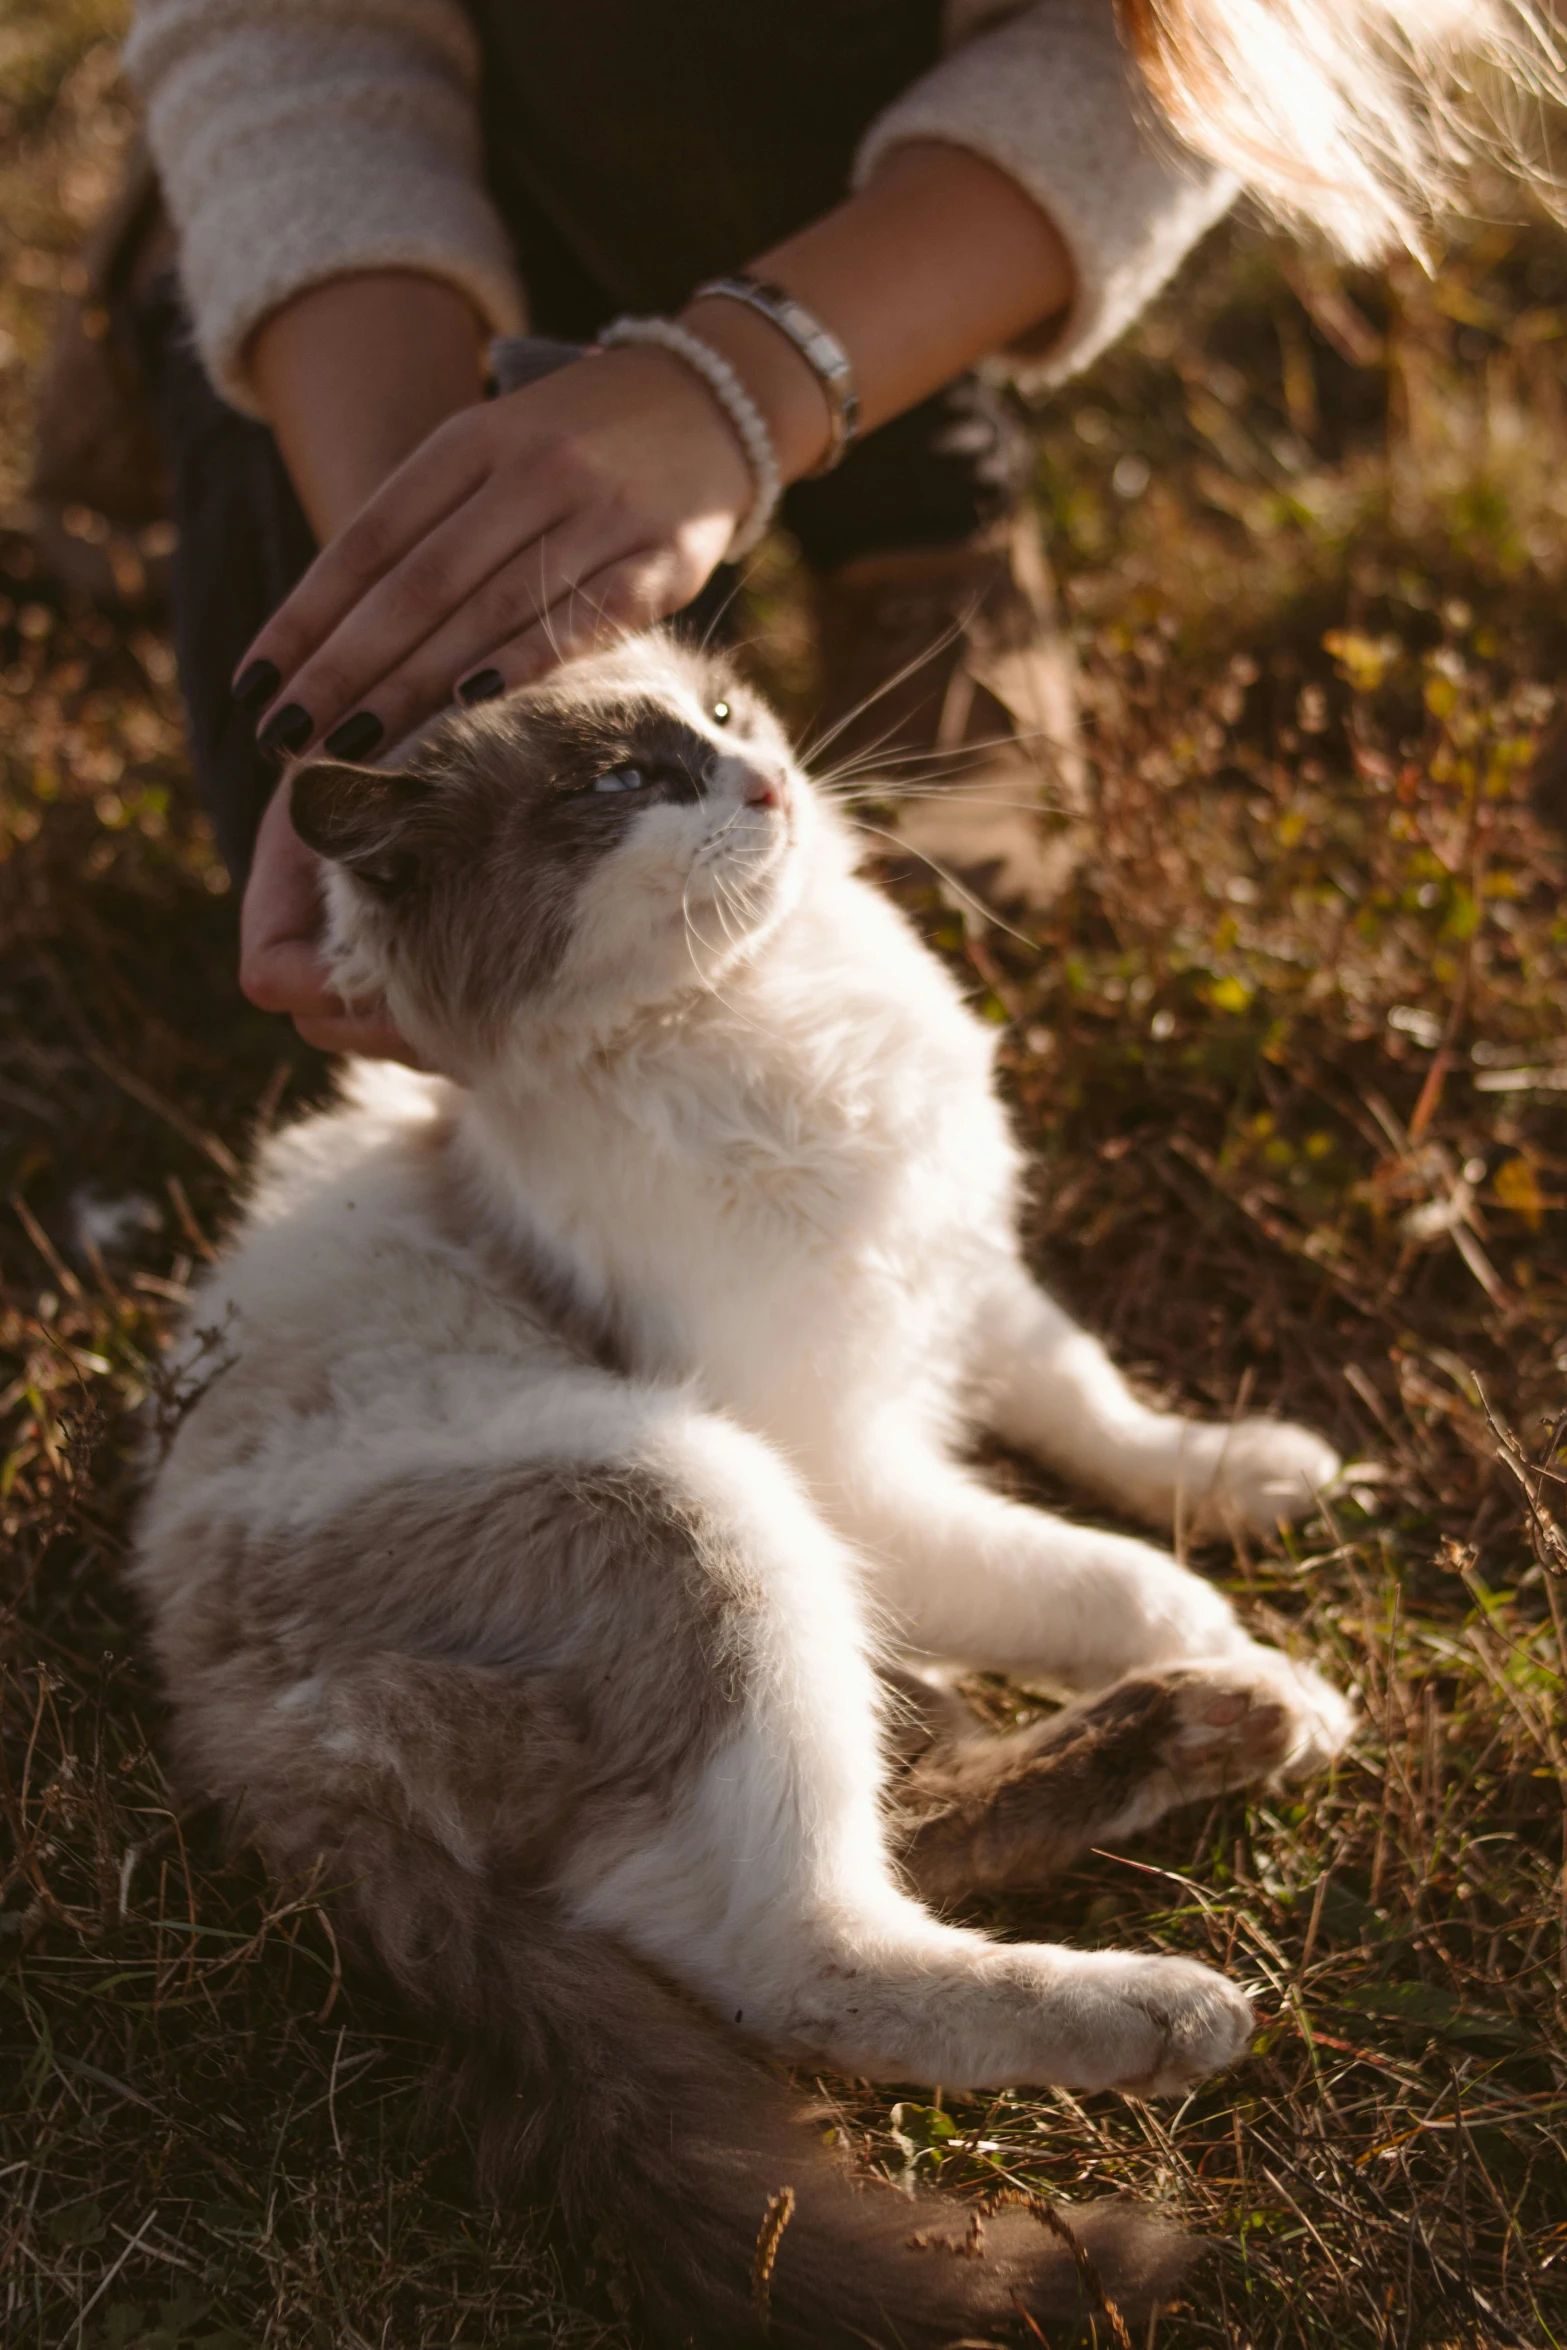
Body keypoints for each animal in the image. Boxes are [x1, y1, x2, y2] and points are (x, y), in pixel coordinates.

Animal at [140, 634, 1353, 2340]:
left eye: (717, 717)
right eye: (615, 784)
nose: (767, 782)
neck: (770, 1016)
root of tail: (226, 1719)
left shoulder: (969, 1290)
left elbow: (1106, 1416)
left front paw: (1249, 1477)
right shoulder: (846, 1459)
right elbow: (1097, 1564)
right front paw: (1230, 1624)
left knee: (892, 1825)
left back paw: (1222, 1724)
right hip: (709, 1512)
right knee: (799, 1956)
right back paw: (1175, 1976)